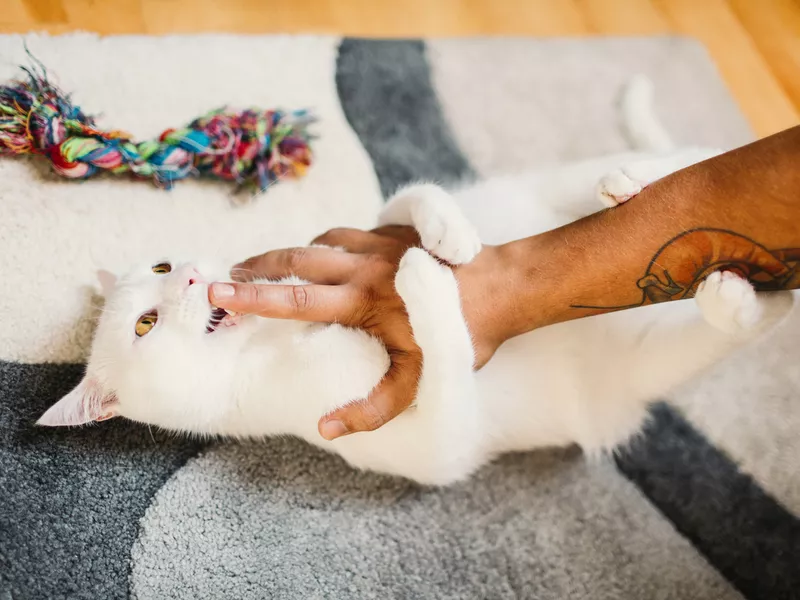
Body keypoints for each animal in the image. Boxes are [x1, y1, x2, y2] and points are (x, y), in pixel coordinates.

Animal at [39, 79, 792, 486]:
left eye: (163, 269)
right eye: (146, 324)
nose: (193, 276)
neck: (273, 340)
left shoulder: (349, 232)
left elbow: (404, 203)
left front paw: (443, 234)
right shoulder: (431, 445)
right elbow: (449, 360)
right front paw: (424, 282)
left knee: (666, 171)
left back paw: (621, 183)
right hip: (644, 369)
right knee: (765, 312)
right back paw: (732, 290)